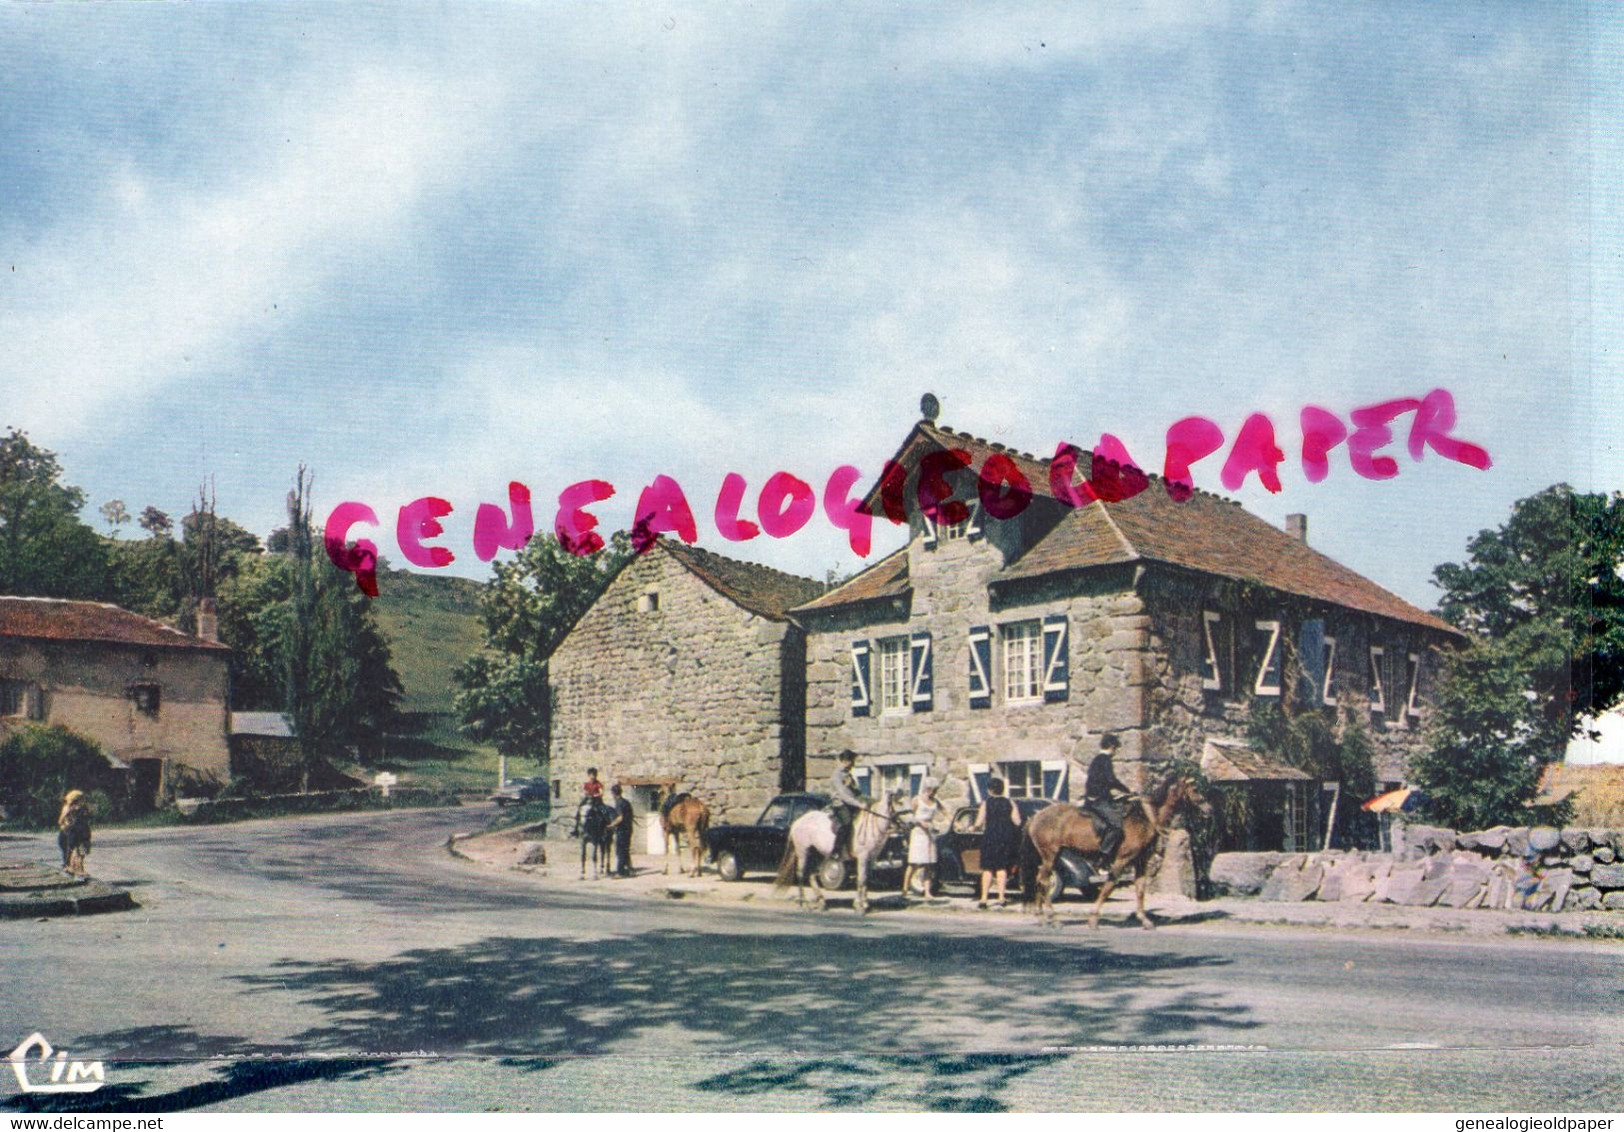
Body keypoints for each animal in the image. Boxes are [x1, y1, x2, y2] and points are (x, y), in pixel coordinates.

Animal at [773, 789, 902, 915]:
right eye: (899, 802)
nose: (907, 824)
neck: (872, 824)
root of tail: (797, 822)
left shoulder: (871, 858)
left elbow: (866, 879)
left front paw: (865, 905)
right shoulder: (863, 857)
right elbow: (861, 879)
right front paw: (859, 907)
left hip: (817, 853)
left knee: (811, 875)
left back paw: (822, 903)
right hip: (803, 851)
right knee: (801, 874)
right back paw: (804, 904)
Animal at [1019, 776, 1214, 928]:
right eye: (1194, 788)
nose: (1209, 809)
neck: (1145, 817)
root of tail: (1036, 816)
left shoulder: (1140, 862)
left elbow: (1140, 889)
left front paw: (1144, 920)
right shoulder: (1121, 860)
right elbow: (1108, 887)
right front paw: (1093, 919)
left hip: (1050, 857)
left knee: (1038, 880)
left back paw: (1042, 917)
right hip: (1050, 856)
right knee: (1044, 882)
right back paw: (1052, 918)